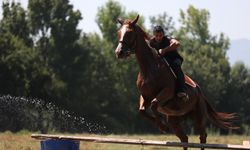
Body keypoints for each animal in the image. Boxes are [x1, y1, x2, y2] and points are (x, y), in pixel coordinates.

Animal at [114, 14, 237, 150]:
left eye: (130, 33)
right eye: (119, 33)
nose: (119, 52)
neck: (149, 68)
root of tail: (200, 92)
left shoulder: (167, 92)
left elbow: (154, 104)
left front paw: (163, 127)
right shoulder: (145, 96)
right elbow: (142, 110)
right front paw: (162, 126)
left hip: (198, 116)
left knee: (202, 136)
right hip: (174, 120)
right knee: (184, 139)